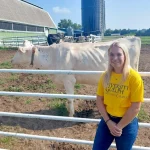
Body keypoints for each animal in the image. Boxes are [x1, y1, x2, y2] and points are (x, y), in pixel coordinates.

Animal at [11, 37, 141, 116]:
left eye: (18, 50)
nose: (11, 60)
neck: (53, 57)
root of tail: (132, 38)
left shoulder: (69, 80)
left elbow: (70, 98)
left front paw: (70, 115)